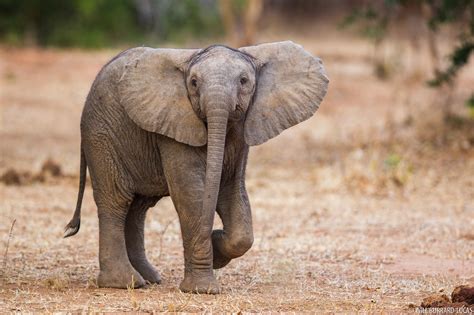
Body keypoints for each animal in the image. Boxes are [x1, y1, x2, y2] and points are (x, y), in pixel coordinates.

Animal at [65, 40, 328, 296]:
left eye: (244, 81)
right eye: (193, 83)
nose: (210, 235)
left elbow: (233, 193)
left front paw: (217, 249)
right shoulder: (175, 124)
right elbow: (191, 193)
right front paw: (202, 289)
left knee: (138, 208)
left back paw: (149, 278)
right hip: (100, 134)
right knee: (116, 200)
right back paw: (125, 283)